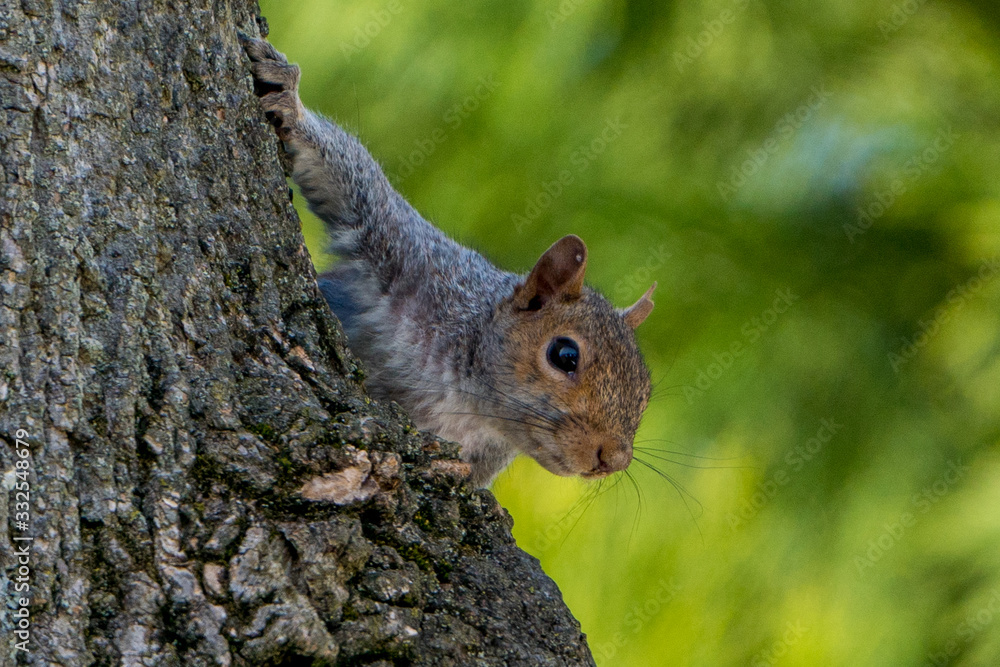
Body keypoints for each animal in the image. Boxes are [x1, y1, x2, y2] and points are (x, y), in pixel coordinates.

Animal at [242, 36, 656, 487]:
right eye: (565, 356)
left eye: (646, 391)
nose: (614, 458)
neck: (468, 397)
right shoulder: (408, 254)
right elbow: (348, 180)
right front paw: (289, 101)